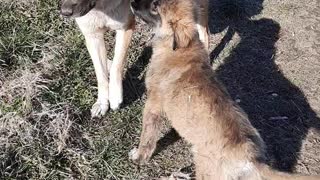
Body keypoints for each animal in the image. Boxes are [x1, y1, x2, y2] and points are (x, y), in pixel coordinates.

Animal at [129, 0, 320, 179]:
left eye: (155, 7)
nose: (132, 3)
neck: (182, 49)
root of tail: (251, 160)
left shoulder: (153, 104)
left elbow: (147, 136)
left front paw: (139, 155)